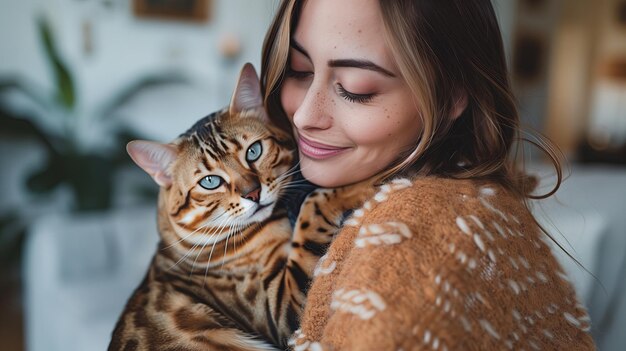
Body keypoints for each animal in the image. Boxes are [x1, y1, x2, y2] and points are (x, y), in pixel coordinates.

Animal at [108, 64, 372, 351]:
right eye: (210, 181)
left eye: (253, 151)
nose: (253, 193)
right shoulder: (279, 310)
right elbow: (314, 203)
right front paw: (363, 182)